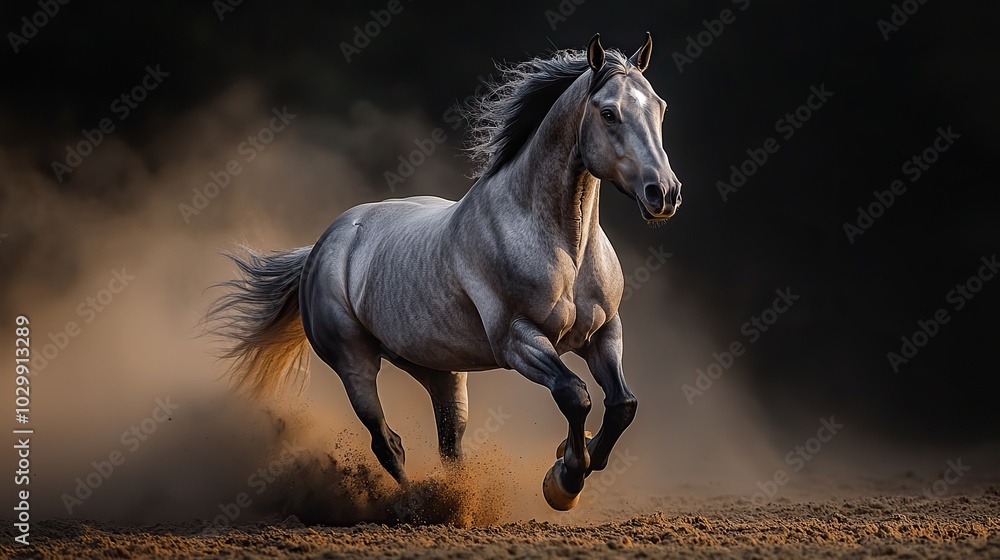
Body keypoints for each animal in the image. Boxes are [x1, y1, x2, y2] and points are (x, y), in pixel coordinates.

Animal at [208, 32, 682, 511]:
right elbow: (575, 395)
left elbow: (622, 404)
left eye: (660, 107)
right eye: (608, 112)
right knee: (387, 443)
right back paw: (419, 505)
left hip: (440, 370)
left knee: (449, 446)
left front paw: (573, 457)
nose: (663, 193)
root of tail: (322, 246)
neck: (565, 247)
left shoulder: (603, 332)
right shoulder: (518, 341)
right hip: (354, 362)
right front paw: (564, 480)